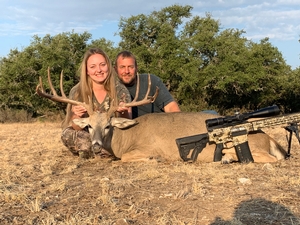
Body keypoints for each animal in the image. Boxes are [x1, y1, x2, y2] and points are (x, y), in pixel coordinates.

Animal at [36, 67, 288, 163]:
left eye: (108, 125)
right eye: (88, 126)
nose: (96, 145)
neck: (125, 138)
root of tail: (268, 137)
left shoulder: (146, 148)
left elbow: (130, 158)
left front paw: (153, 159)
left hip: (250, 145)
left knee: (271, 158)